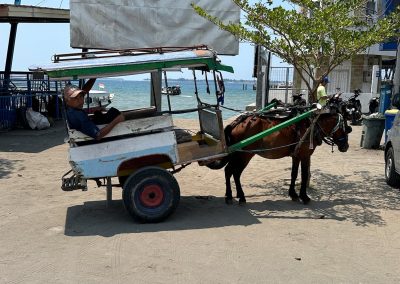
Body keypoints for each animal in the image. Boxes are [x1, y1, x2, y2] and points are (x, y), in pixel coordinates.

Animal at [208, 107, 352, 205]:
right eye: (345, 127)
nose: (345, 147)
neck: (311, 126)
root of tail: (237, 122)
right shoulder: (305, 156)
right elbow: (304, 175)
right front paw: (304, 197)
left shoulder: (296, 156)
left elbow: (294, 174)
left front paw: (293, 194)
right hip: (244, 155)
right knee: (234, 172)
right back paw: (238, 196)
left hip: (238, 155)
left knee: (229, 171)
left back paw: (232, 195)